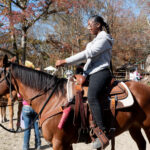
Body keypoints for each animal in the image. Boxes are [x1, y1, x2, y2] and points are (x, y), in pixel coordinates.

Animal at [0, 55, 149, 150]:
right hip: (134, 127)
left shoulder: (58, 143)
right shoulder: (66, 143)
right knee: (141, 144)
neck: (52, 99)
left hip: (147, 126)